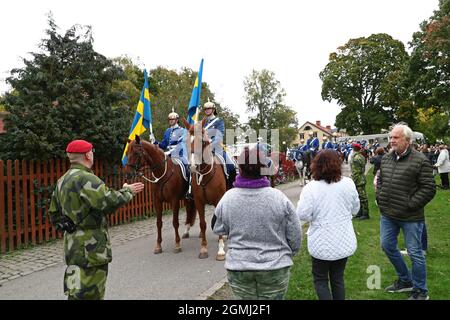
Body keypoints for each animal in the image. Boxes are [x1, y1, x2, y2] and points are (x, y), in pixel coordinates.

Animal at [182, 117, 227, 260]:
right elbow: (202, 224)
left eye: (201, 141)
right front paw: (203, 248)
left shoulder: (219, 200)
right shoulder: (199, 202)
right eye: (186, 141)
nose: (192, 166)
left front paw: (220, 251)